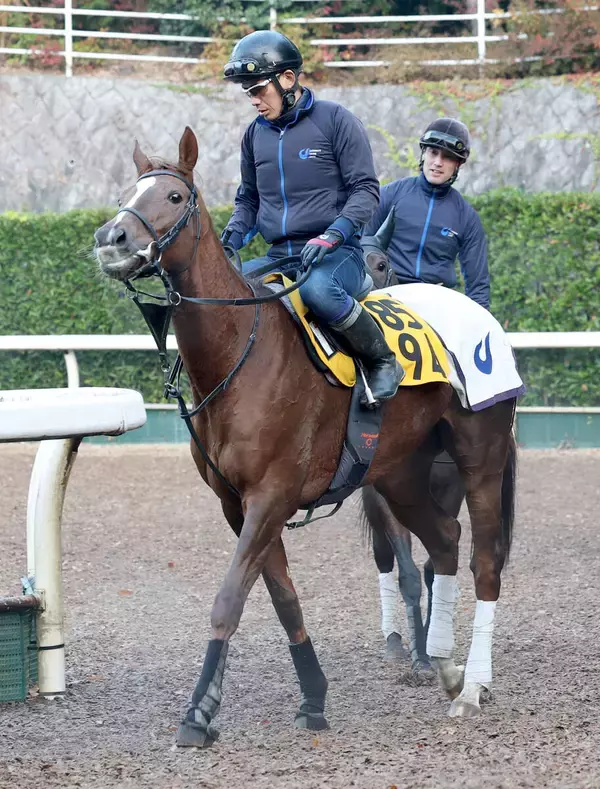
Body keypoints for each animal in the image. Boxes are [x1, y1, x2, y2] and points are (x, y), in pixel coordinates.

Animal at [94, 127, 516, 748]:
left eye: (174, 197)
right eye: (128, 193)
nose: (110, 239)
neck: (239, 352)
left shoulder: (271, 496)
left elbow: (229, 598)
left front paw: (198, 711)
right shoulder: (237, 504)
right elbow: (283, 599)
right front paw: (313, 697)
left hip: (479, 457)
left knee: (484, 563)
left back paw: (472, 687)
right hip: (400, 472)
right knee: (442, 540)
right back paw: (443, 665)